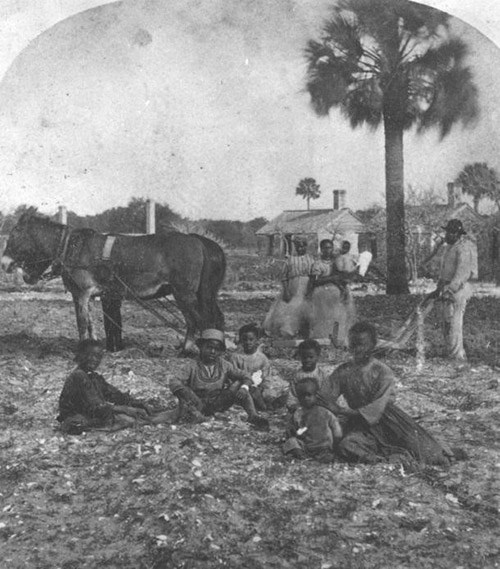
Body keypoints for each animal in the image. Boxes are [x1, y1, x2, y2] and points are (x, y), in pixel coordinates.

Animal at [0, 212, 226, 350]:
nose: (4, 264)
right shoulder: (88, 295)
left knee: (198, 321)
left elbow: (81, 323)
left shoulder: (81, 294)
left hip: (184, 294)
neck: (71, 247)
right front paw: (93, 346)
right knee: (212, 319)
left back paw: (189, 351)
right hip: (200, 294)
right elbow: (90, 323)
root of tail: (198, 240)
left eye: (15, 234)